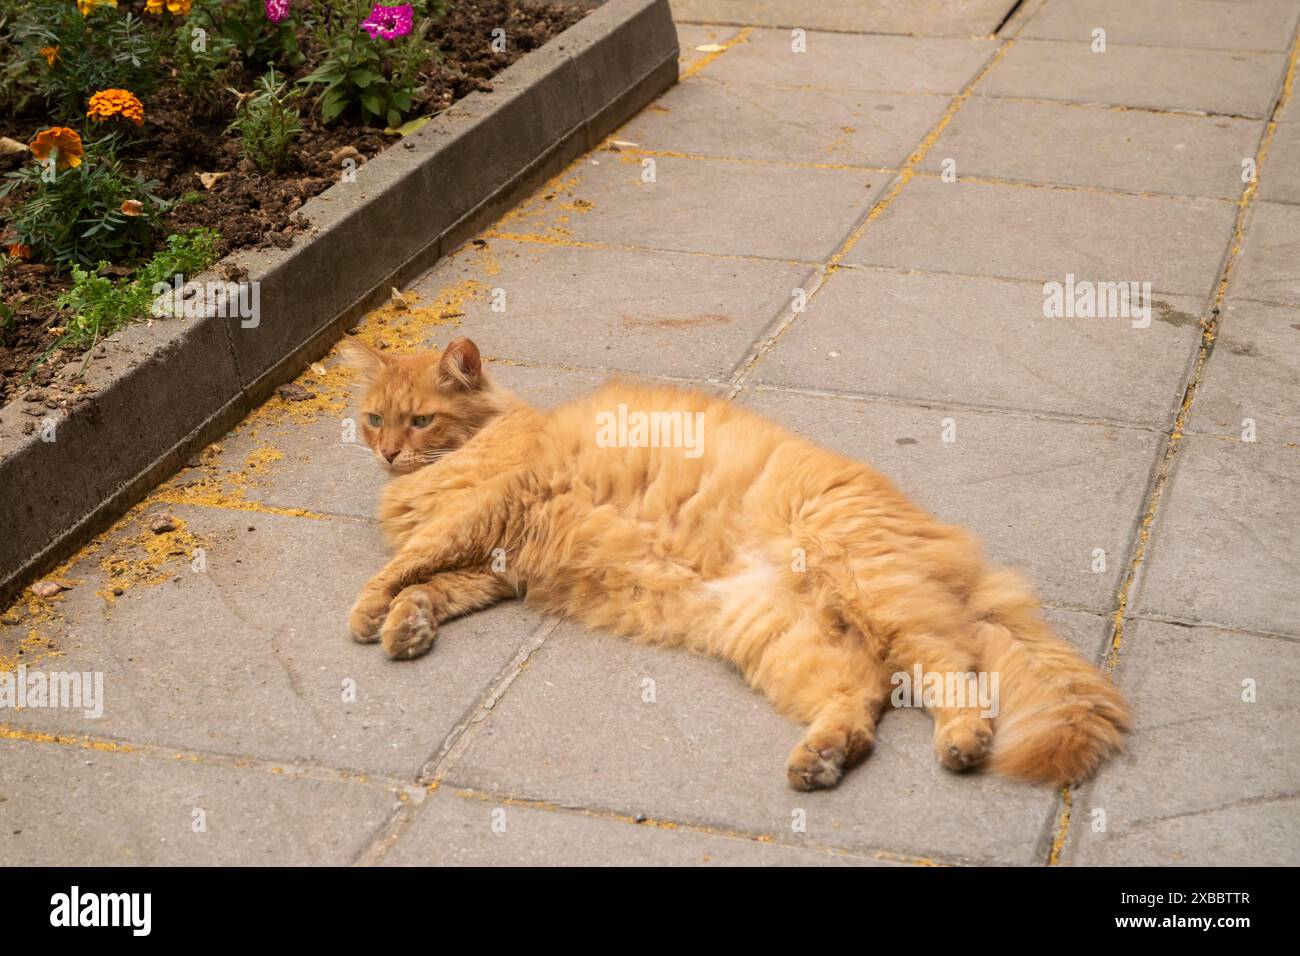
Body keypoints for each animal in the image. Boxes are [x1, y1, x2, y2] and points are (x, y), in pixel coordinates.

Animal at [343, 340, 1128, 790]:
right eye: (374, 419)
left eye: (419, 421)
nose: (386, 453)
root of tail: (956, 551)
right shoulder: (498, 567)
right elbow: (433, 587)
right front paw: (406, 627)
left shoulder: (489, 513)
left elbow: (409, 563)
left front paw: (368, 612)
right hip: (782, 636)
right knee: (867, 697)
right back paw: (820, 759)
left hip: (868, 590)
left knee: (950, 670)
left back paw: (961, 742)